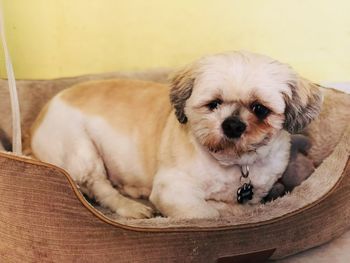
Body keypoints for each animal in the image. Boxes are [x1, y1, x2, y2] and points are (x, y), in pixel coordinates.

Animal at [30, 52, 322, 220]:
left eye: (260, 109)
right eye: (213, 104)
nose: (232, 125)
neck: (234, 164)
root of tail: (37, 121)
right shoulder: (173, 191)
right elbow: (210, 212)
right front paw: (229, 209)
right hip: (80, 149)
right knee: (99, 187)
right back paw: (132, 207)